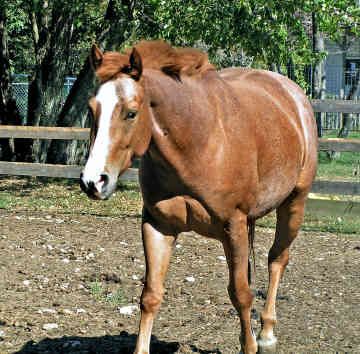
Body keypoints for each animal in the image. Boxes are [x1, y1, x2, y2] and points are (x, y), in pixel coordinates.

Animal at [80, 40, 316, 352]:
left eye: (130, 112)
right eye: (91, 109)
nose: (93, 181)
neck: (197, 141)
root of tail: (294, 97)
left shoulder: (233, 226)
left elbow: (241, 294)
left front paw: (251, 345)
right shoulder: (157, 225)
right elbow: (151, 295)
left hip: (293, 204)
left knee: (277, 259)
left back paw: (266, 334)